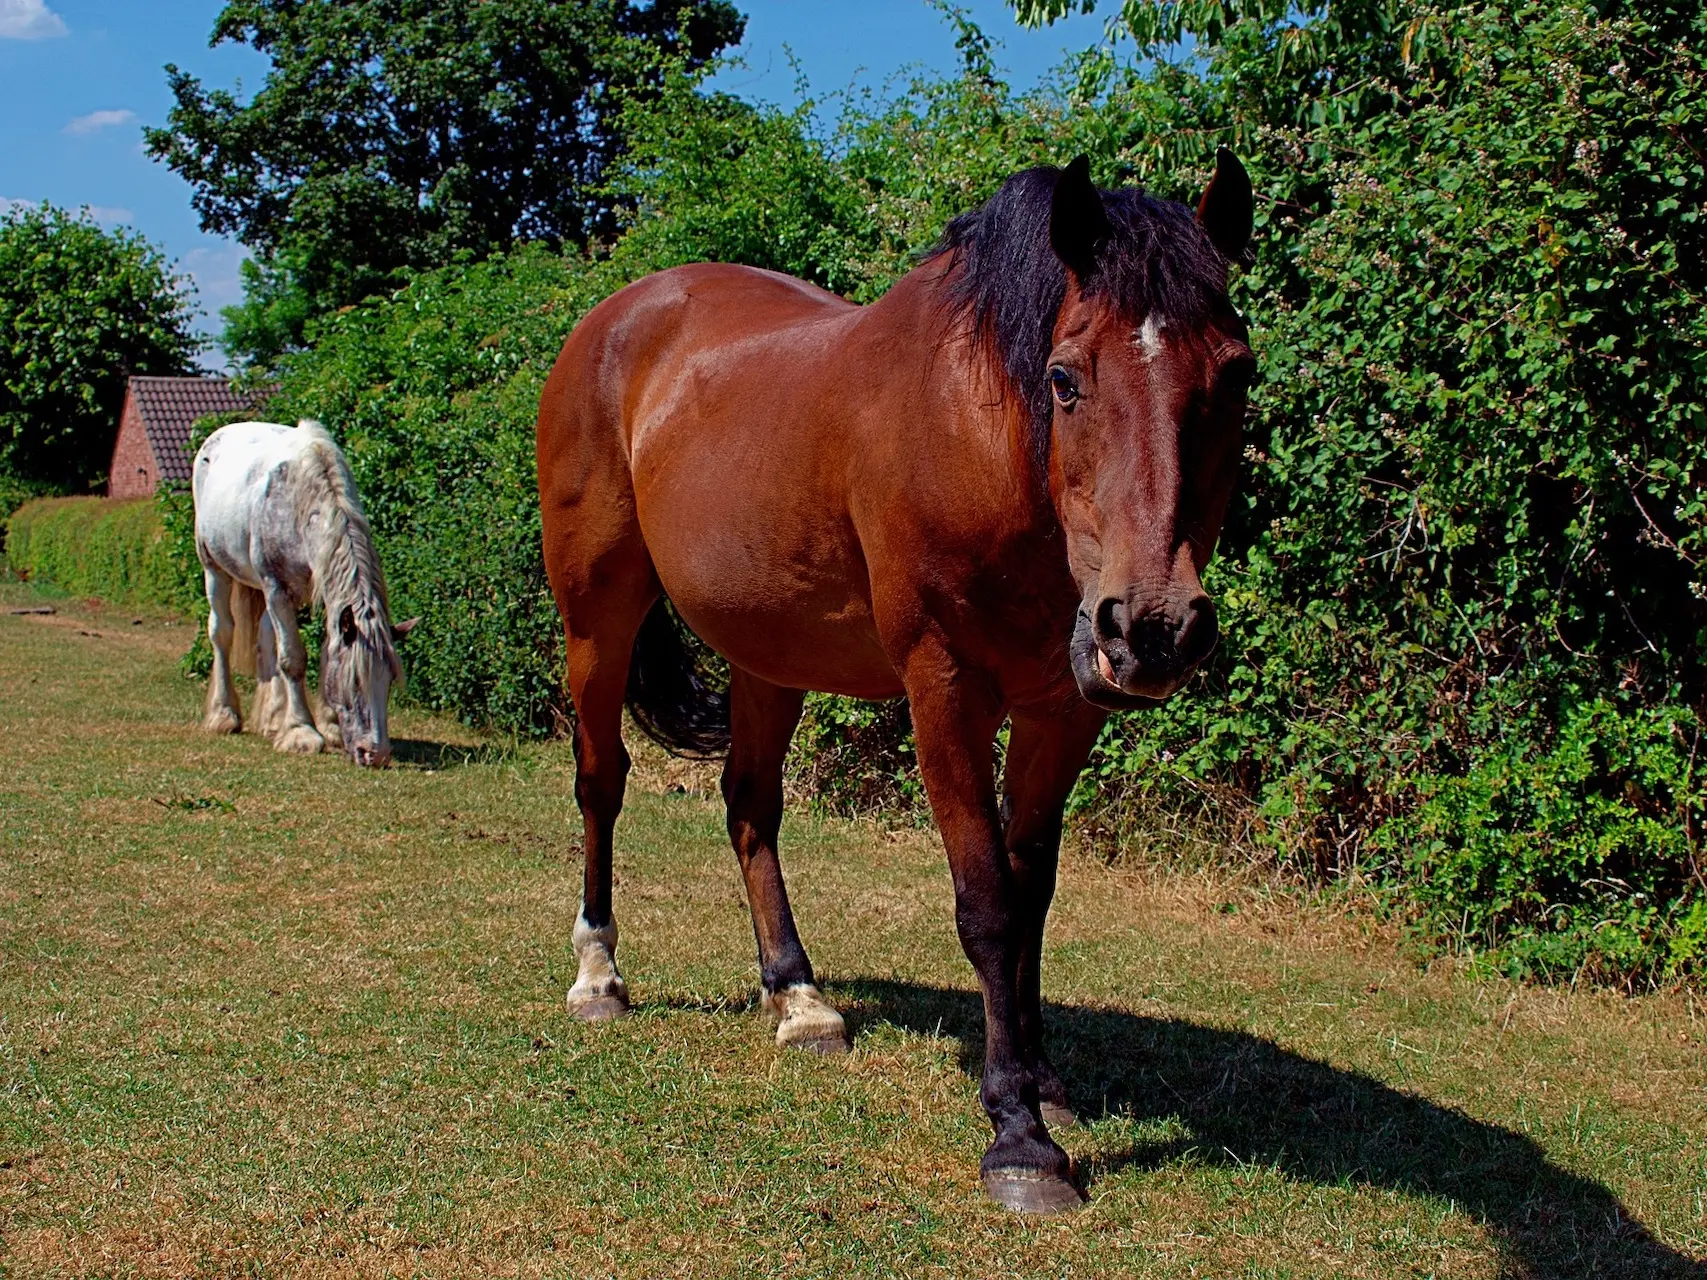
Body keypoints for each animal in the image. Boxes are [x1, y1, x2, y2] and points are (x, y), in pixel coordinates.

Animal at [192, 421, 414, 768]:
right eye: (355, 681)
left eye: (389, 680)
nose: (375, 754)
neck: (303, 504)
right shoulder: (277, 588)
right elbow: (293, 659)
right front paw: (301, 732)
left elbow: (322, 653)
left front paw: (330, 727)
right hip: (214, 568)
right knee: (222, 633)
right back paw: (224, 715)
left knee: (266, 639)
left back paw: (272, 719)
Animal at [539, 152, 1263, 1215]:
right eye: (1063, 379)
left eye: (1236, 372)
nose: (1155, 627)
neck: (986, 442)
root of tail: (615, 318)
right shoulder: (944, 691)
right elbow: (987, 905)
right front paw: (1018, 1135)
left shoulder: (1060, 711)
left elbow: (1031, 892)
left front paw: (1042, 1079)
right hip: (599, 615)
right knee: (601, 781)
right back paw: (597, 976)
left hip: (768, 654)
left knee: (749, 806)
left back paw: (798, 998)